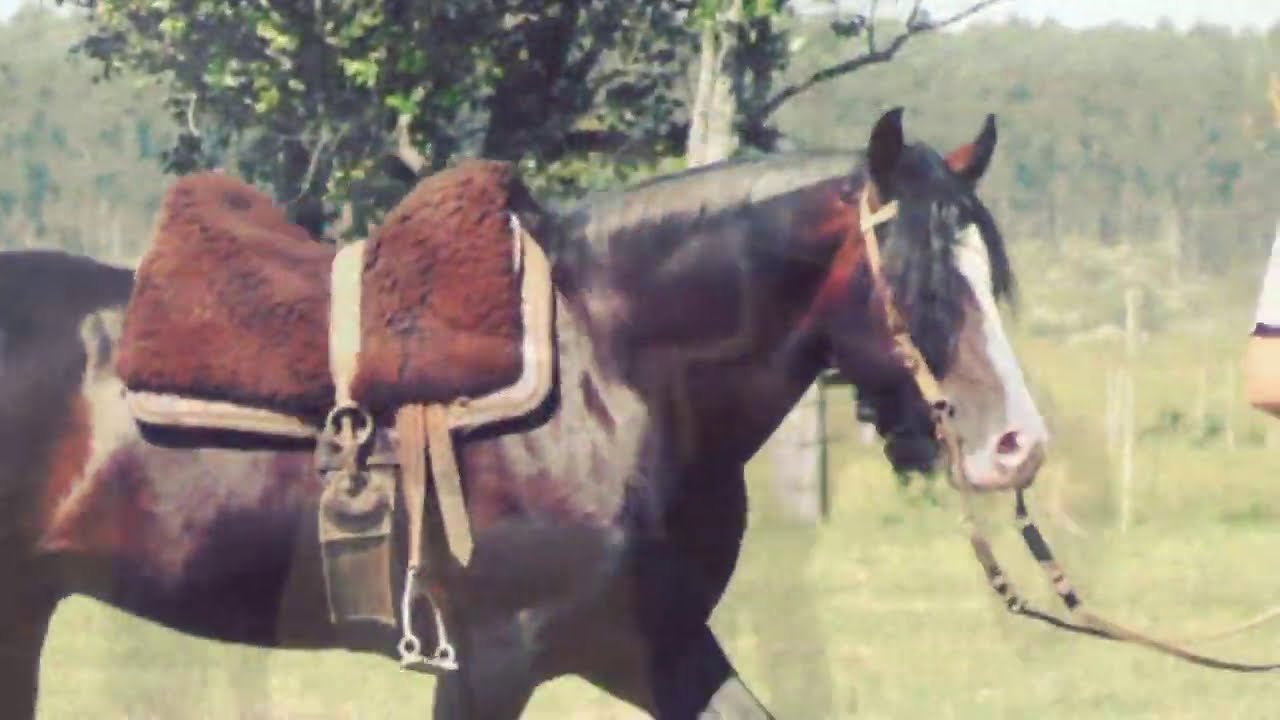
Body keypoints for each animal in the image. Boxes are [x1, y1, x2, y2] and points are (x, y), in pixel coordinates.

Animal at [0, 107, 1048, 719]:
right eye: (919, 281)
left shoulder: (657, 644)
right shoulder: (492, 661)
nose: (1018, 446)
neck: (612, 376)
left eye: (987, 269)